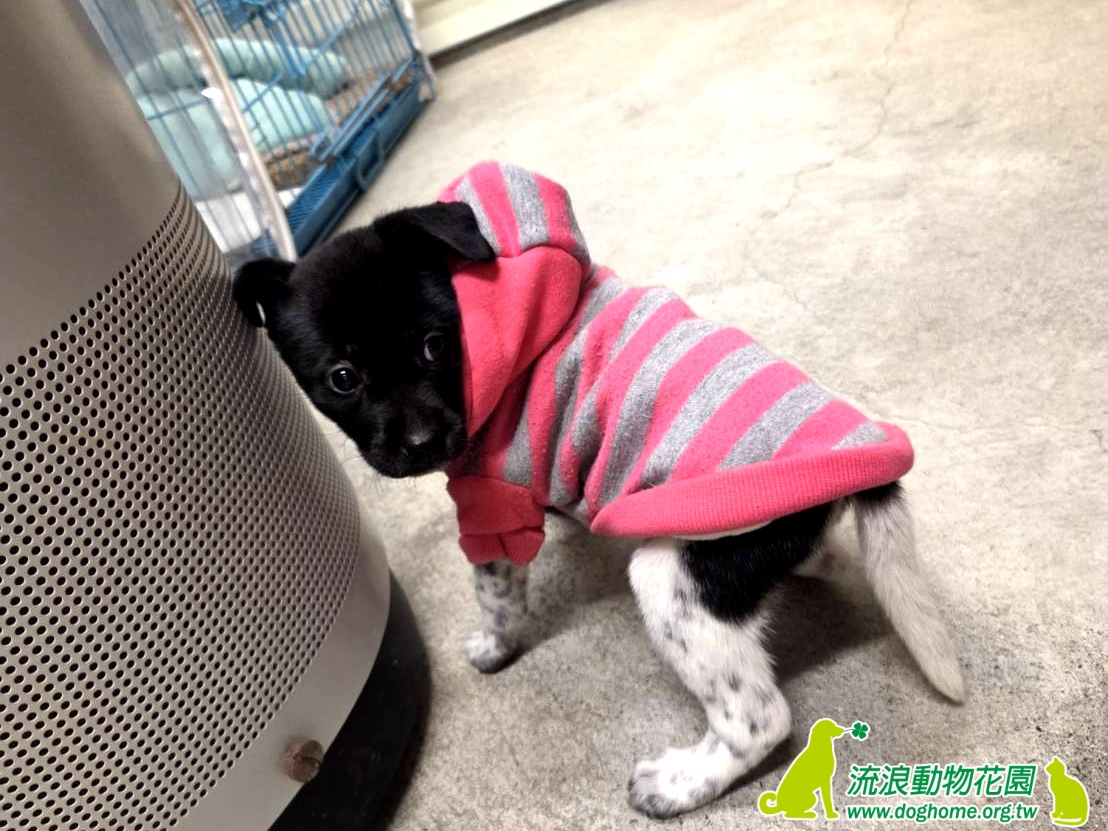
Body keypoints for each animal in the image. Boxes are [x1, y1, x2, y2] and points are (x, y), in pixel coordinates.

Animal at [233, 162, 965, 818]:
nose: (423, 443)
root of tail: (867, 460)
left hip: (676, 578)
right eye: (343, 378)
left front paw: (494, 648)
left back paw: (677, 784)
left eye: (437, 345)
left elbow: (496, 596)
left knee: (760, 717)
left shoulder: (492, 508)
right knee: (826, 559)